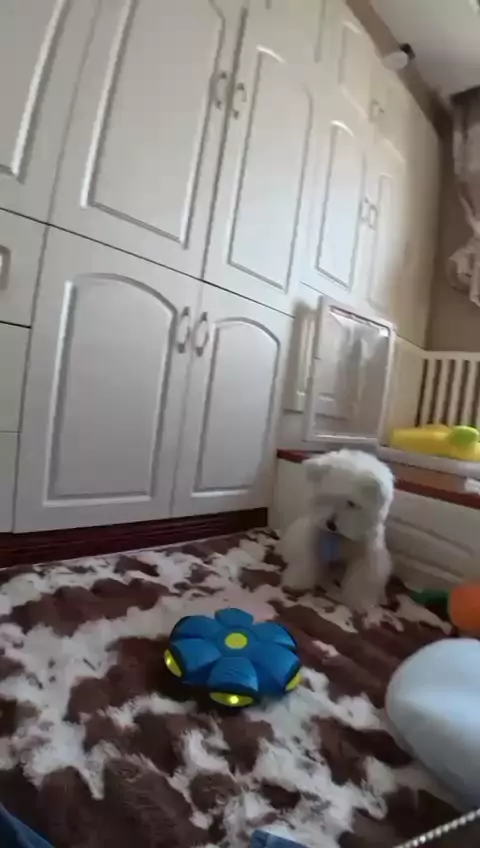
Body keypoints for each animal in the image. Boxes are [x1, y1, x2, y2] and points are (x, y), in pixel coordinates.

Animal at [280, 450, 394, 612]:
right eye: (326, 497)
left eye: (352, 503)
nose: (330, 524)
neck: (340, 537)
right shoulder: (313, 544)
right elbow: (305, 563)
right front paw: (296, 583)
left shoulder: (366, 558)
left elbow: (362, 580)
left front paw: (360, 603)